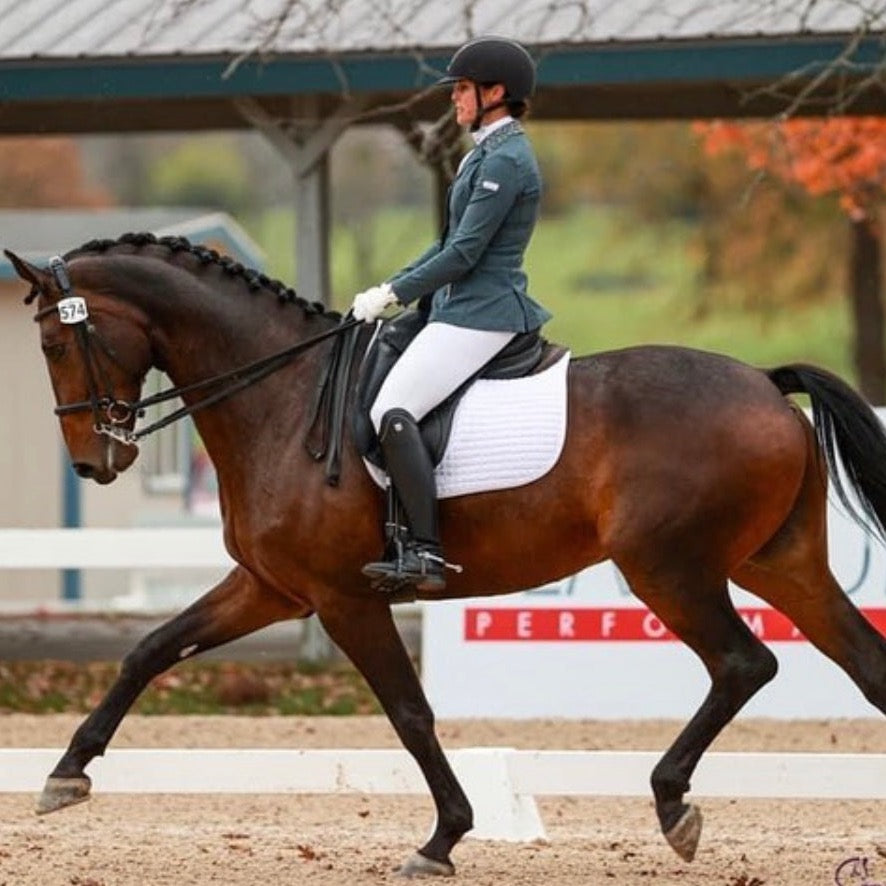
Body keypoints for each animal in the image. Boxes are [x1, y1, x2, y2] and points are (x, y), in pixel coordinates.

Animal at [5, 232, 886, 876]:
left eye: (53, 343)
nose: (95, 461)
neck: (280, 399)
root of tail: (766, 383)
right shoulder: (272, 588)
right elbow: (150, 650)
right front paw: (65, 774)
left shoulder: (344, 598)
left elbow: (409, 712)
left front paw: (443, 838)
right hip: (780, 564)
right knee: (865, 665)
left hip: (670, 568)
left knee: (743, 664)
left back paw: (673, 803)